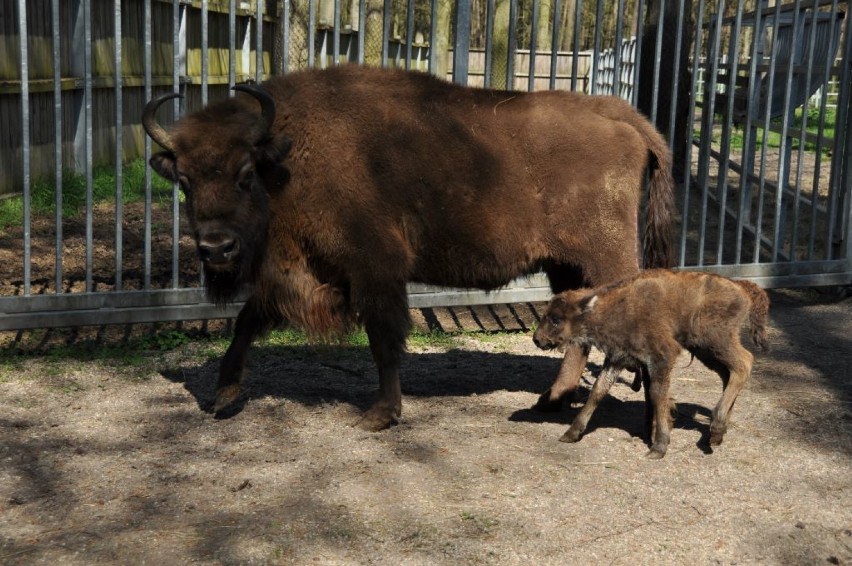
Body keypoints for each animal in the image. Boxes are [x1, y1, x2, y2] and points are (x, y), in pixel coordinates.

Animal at [143, 65, 676, 430]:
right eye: (185, 181)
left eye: (244, 174)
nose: (216, 248)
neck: (288, 155)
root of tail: (622, 116)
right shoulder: (300, 275)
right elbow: (248, 321)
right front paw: (223, 396)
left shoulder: (375, 270)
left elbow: (384, 340)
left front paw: (379, 415)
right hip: (565, 265)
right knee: (577, 330)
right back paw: (550, 401)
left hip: (604, 258)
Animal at [532, 270, 764, 462]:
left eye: (556, 319)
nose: (537, 339)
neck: (612, 308)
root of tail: (742, 287)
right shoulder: (617, 359)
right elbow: (598, 391)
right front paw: (571, 433)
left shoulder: (661, 358)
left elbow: (656, 395)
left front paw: (659, 447)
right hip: (705, 351)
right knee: (728, 374)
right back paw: (718, 432)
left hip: (715, 340)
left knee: (744, 364)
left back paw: (716, 426)